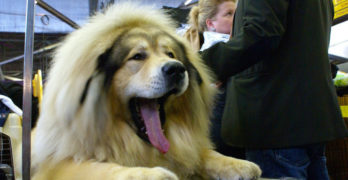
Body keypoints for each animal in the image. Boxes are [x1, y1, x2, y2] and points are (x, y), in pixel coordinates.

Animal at [27, 2, 260, 180]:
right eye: (138, 56)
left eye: (170, 54)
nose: (176, 69)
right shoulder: (59, 163)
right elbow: (100, 167)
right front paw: (150, 173)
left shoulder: (187, 149)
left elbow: (206, 154)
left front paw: (240, 164)